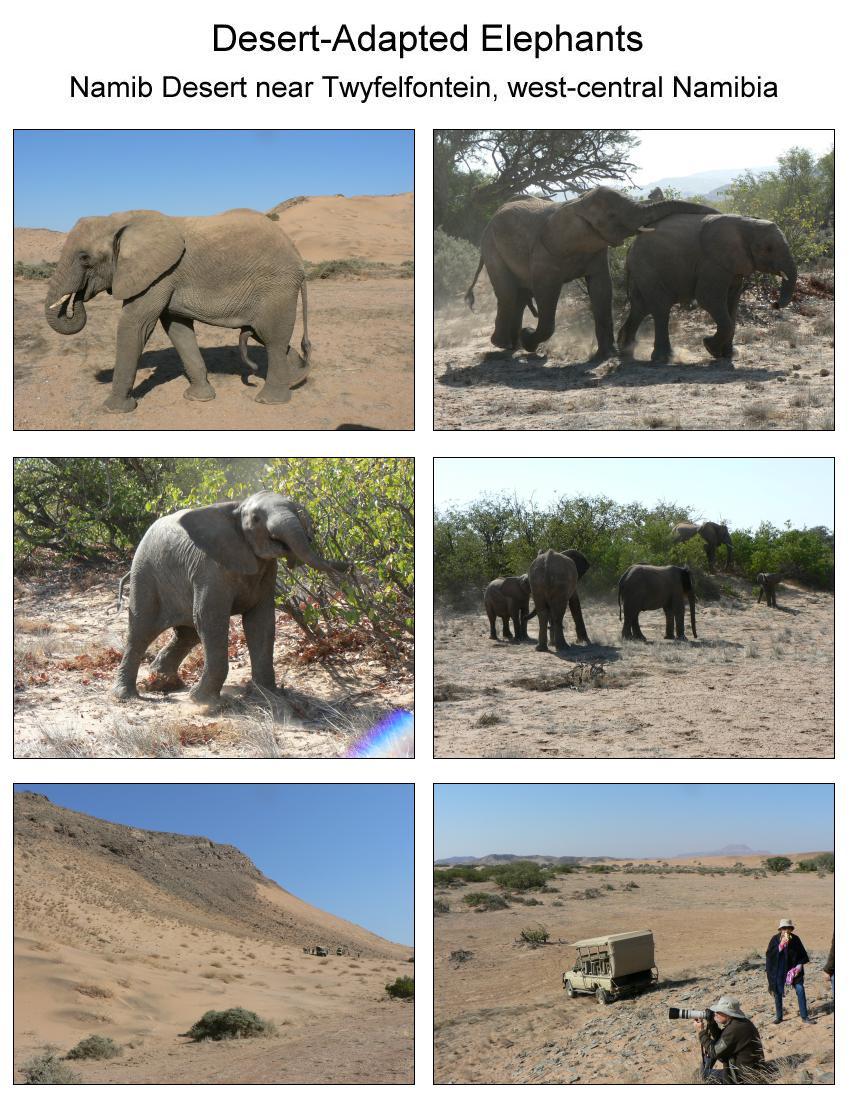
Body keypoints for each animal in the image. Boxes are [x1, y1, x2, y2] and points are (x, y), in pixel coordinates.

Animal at [43, 206, 307, 413]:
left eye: (84, 258)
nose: (77, 297)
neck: (119, 219)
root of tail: (297, 255)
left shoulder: (159, 275)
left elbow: (135, 325)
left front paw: (113, 409)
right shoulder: (164, 277)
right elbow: (177, 329)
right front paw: (198, 398)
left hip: (277, 288)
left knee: (273, 340)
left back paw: (270, 400)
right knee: (270, 337)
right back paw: (297, 379)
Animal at [113, 492, 347, 712]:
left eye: (296, 511)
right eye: (256, 519)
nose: (348, 565)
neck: (238, 507)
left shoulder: (266, 570)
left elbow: (260, 623)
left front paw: (266, 696)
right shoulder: (210, 569)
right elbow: (210, 619)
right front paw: (201, 700)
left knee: (187, 634)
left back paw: (163, 682)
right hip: (144, 574)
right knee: (141, 631)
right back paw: (127, 695)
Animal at [464, 188, 716, 356]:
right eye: (612, 216)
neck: (578, 204)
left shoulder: (595, 246)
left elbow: (602, 288)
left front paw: (608, 354)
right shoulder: (545, 252)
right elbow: (547, 294)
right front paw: (529, 338)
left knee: (519, 294)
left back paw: (511, 345)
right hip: (491, 247)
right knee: (508, 293)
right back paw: (503, 344)